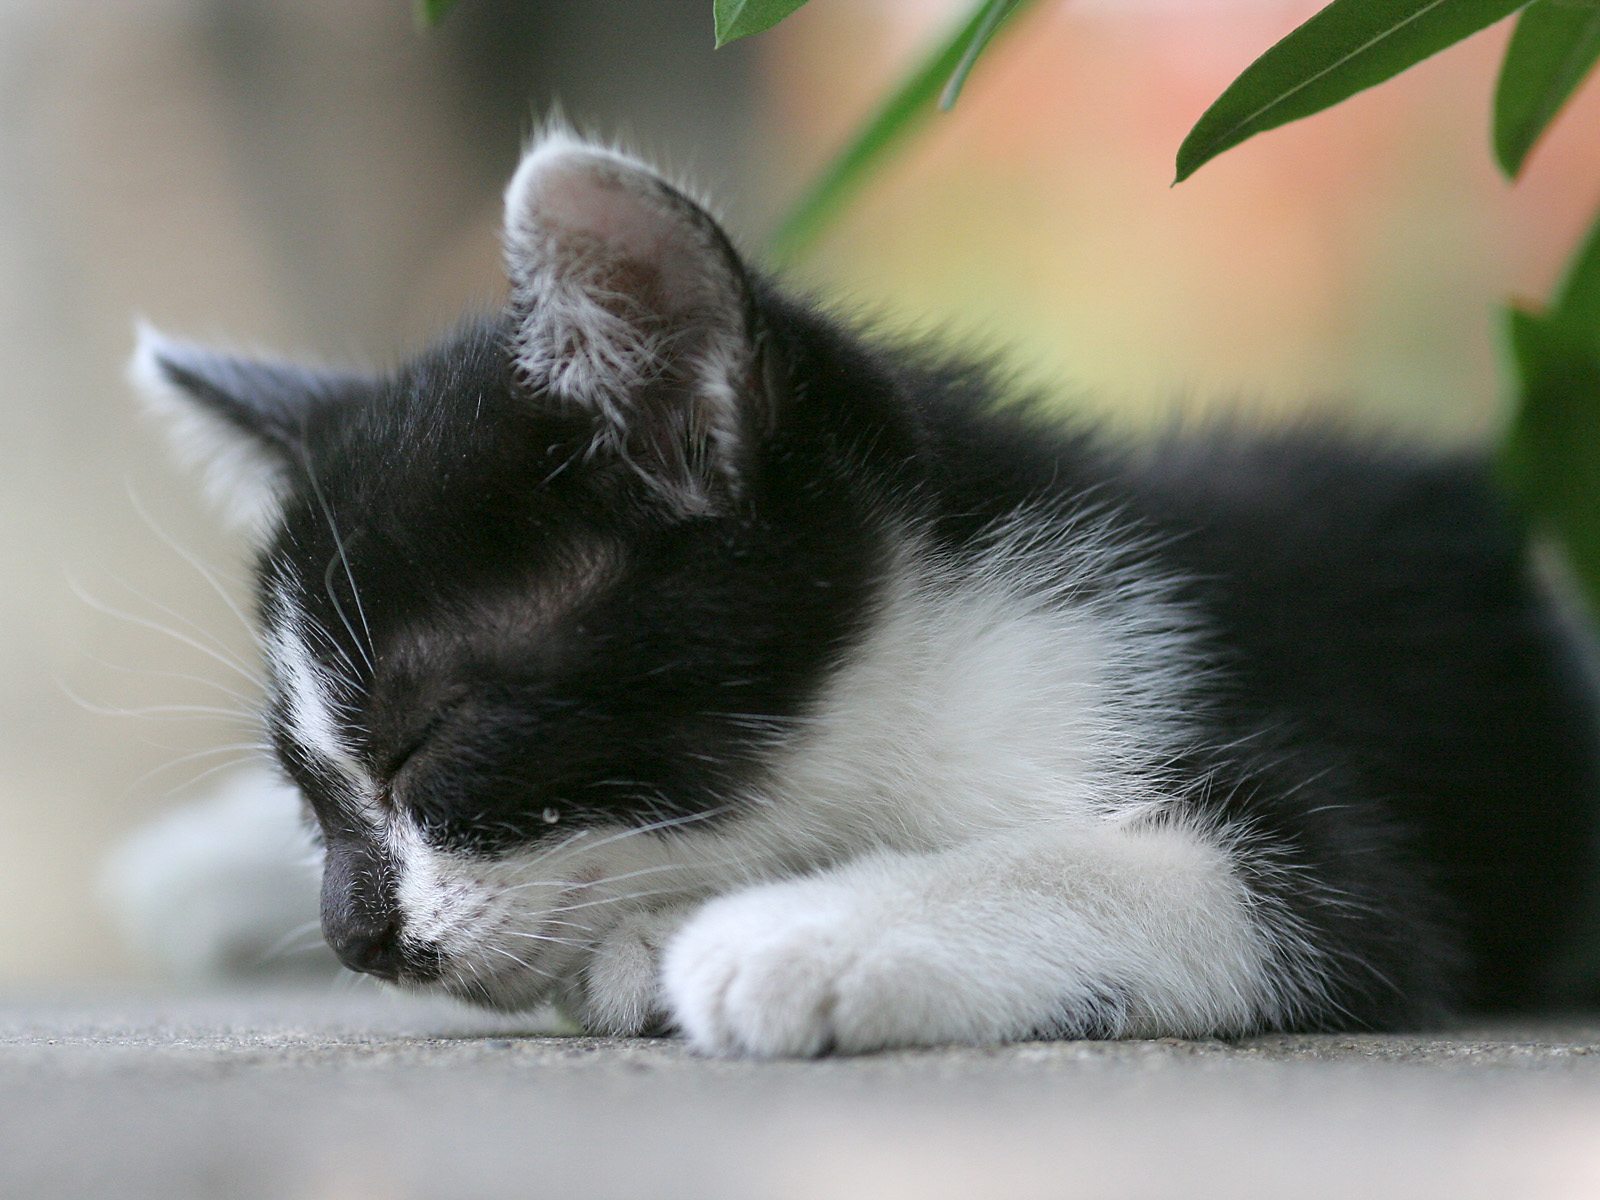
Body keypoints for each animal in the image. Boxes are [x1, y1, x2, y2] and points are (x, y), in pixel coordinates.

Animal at [131, 127, 1600, 1056]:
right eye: (309, 788)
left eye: (430, 737)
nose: (354, 936)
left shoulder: (1288, 788)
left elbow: (1209, 879)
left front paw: (791, 933)